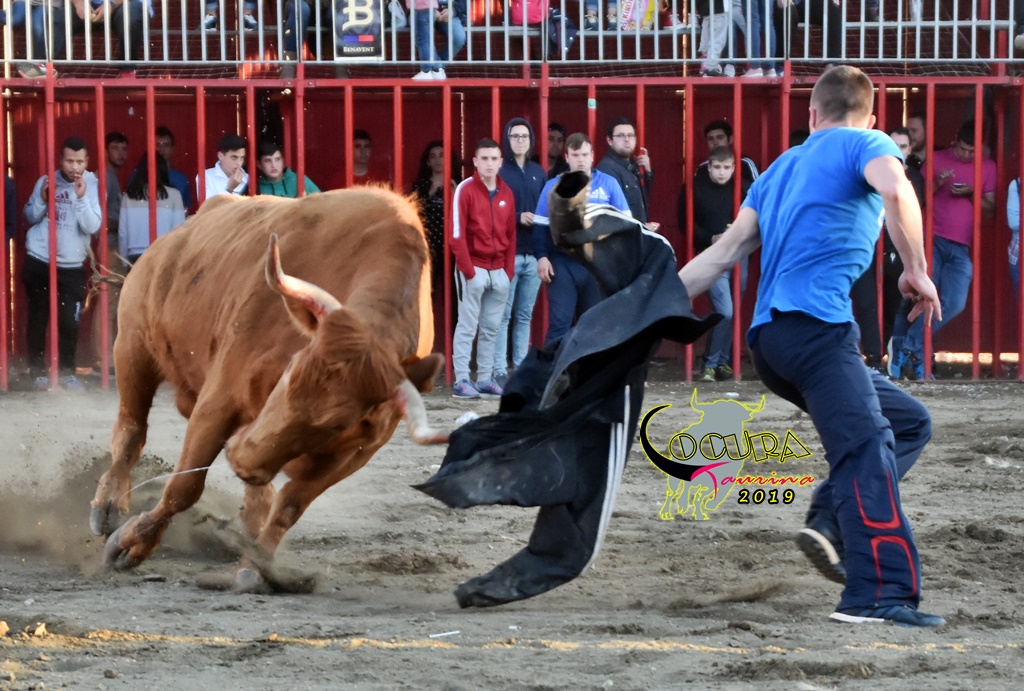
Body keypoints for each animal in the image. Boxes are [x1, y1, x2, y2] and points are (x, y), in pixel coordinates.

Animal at [89, 188, 446, 591]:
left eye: (340, 422)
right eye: (291, 371)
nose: (243, 461)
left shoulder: (353, 454)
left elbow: (289, 507)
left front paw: (252, 566)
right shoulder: (219, 401)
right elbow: (185, 487)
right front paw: (132, 545)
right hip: (133, 346)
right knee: (131, 430)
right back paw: (109, 506)